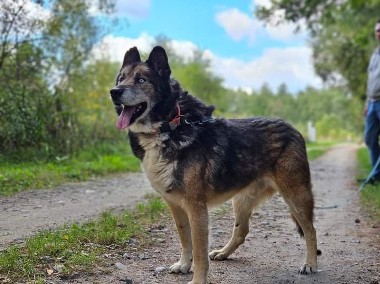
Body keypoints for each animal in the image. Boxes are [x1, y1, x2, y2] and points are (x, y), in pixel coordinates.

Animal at [109, 45, 318, 282]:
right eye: (121, 78)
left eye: (141, 80)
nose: (114, 92)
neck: (169, 126)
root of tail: (293, 129)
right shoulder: (176, 206)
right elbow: (185, 239)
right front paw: (184, 265)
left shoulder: (196, 208)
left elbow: (199, 251)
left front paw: (198, 279)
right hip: (241, 200)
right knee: (241, 231)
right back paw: (223, 253)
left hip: (296, 196)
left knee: (310, 230)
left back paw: (310, 264)